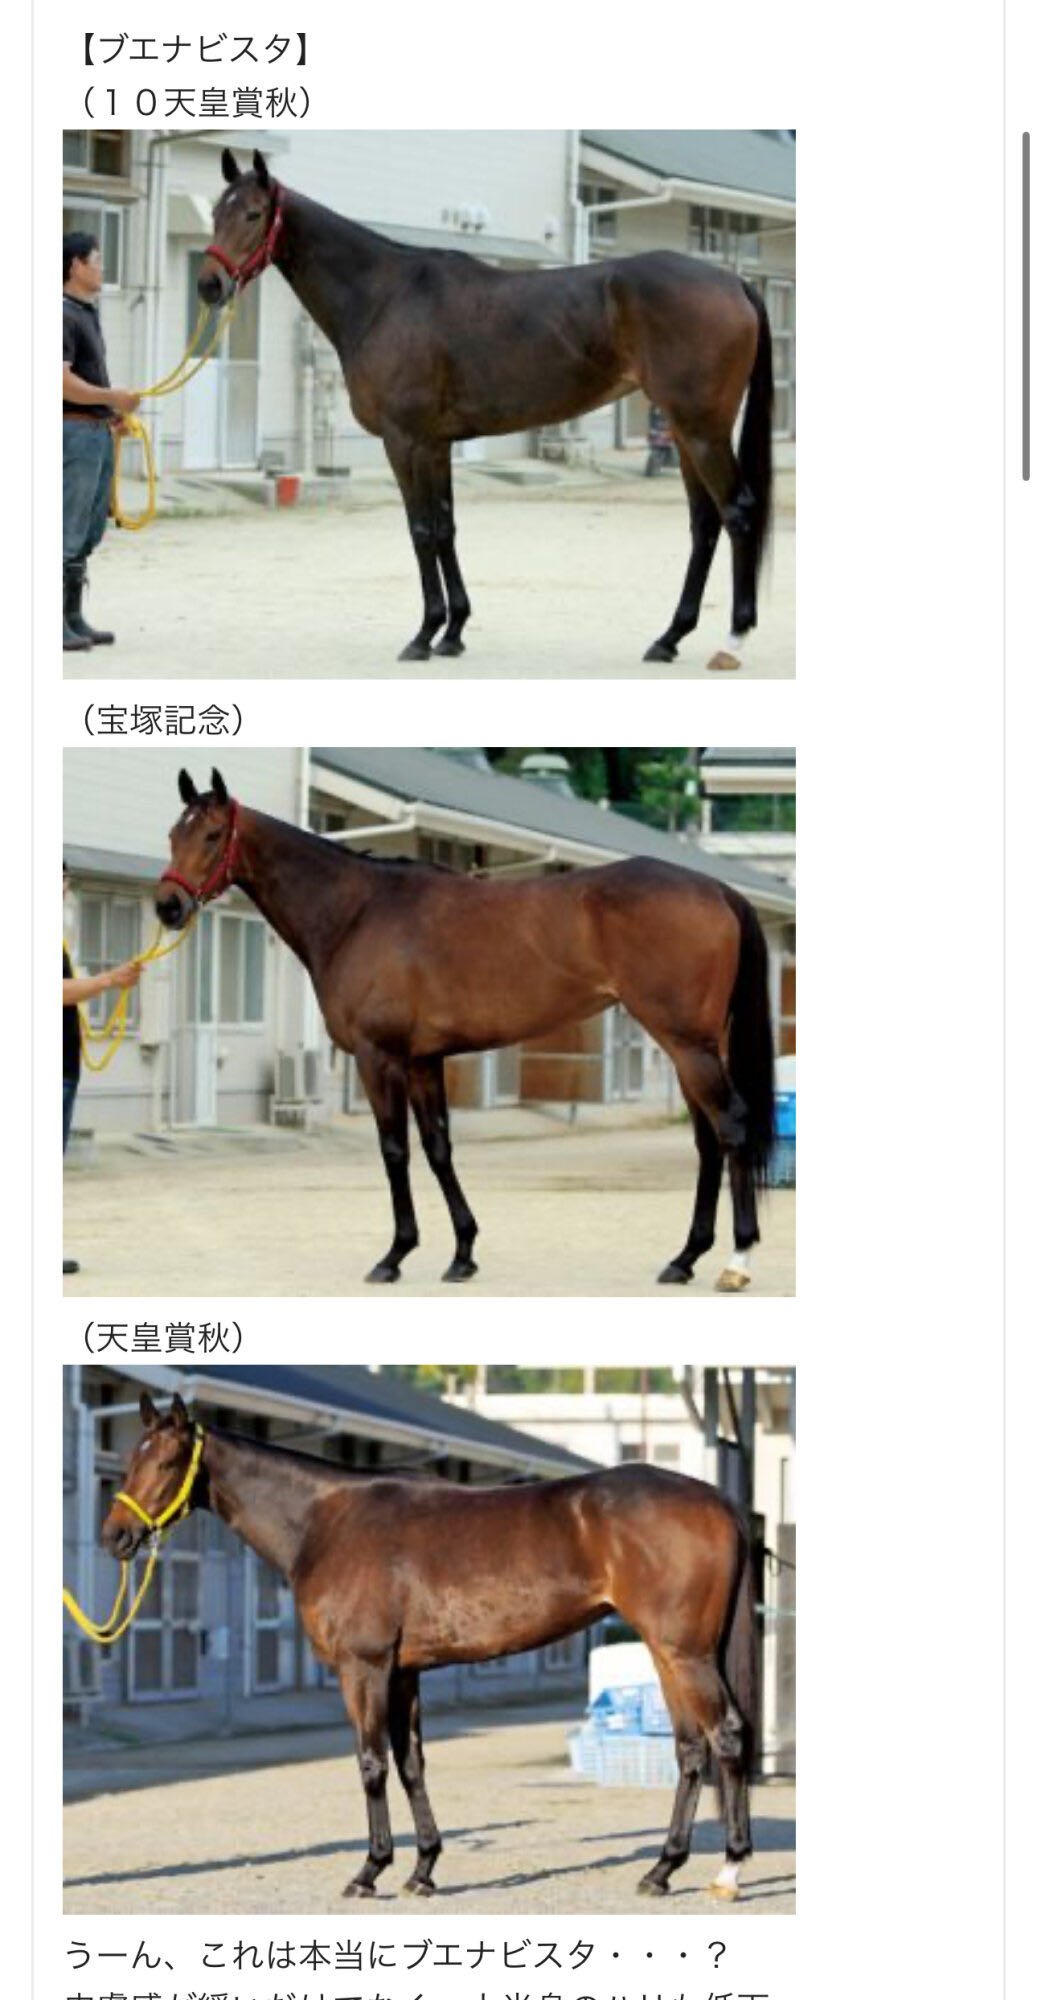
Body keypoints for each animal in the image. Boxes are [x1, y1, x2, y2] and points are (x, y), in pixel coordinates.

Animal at [102, 1391, 759, 1901]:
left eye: (166, 1461)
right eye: (132, 1456)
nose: (115, 1536)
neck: (325, 1521)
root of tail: (718, 1502)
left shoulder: (363, 1669)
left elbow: (370, 1762)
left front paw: (369, 1871)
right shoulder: (403, 1673)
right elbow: (410, 1763)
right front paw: (422, 1869)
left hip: (684, 1653)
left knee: (726, 1735)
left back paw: (728, 1868)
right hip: (668, 1652)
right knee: (690, 1750)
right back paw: (661, 1869)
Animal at [157, 769, 775, 1291]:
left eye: (212, 834)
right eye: (172, 834)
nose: (168, 905)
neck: (359, 911)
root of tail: (716, 889)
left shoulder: (379, 1057)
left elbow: (395, 1150)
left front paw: (394, 1256)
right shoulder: (423, 1060)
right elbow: (438, 1148)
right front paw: (462, 1254)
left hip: (687, 1045)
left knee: (731, 1125)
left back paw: (737, 1261)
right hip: (691, 1047)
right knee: (707, 1140)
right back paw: (685, 1259)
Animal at [198, 148, 773, 669]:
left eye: (253, 214)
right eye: (217, 213)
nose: (209, 284)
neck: (385, 295)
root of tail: (734, 281)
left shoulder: (404, 440)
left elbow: (421, 529)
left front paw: (423, 635)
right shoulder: (436, 444)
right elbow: (445, 527)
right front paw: (453, 631)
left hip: (701, 430)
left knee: (738, 513)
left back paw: (732, 641)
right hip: (683, 431)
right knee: (705, 524)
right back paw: (669, 638)